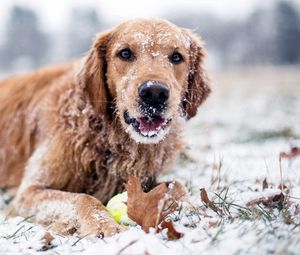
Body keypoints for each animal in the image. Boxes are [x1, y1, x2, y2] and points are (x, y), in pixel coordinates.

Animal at [0, 18, 211, 237]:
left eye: (177, 57)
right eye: (125, 53)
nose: (154, 93)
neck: (107, 136)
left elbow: (177, 185)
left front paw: (196, 209)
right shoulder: (29, 191)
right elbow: (82, 198)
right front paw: (104, 225)